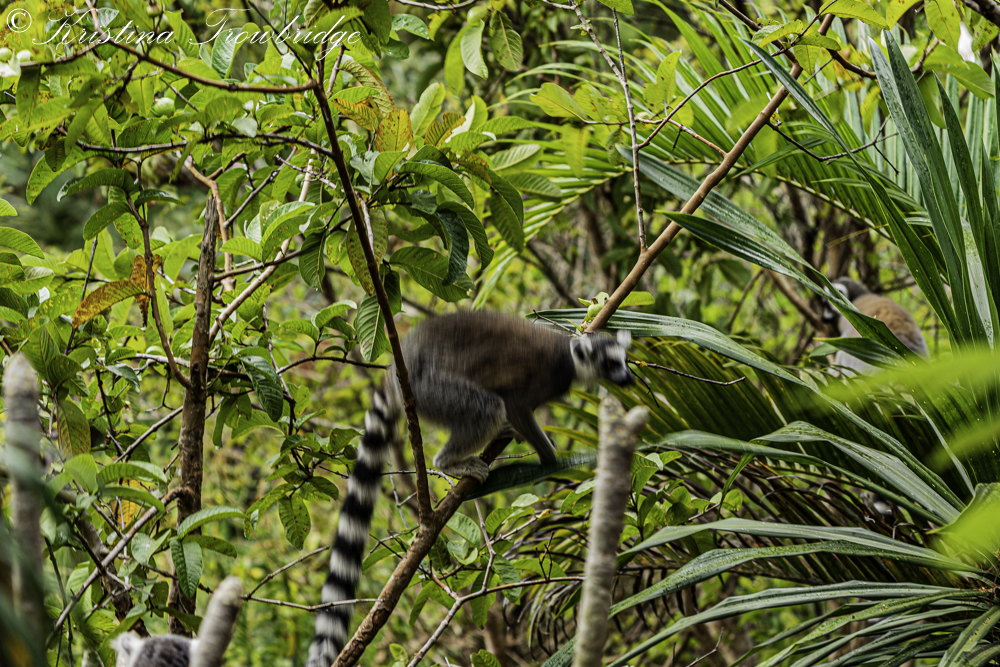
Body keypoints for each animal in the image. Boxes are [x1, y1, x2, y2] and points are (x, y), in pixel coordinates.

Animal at [307, 311, 634, 667]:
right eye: (609, 364)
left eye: (624, 361)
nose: (628, 379)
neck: (571, 360)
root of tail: (400, 367)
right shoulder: (547, 379)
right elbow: (516, 406)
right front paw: (551, 461)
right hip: (432, 389)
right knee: (486, 408)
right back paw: (451, 462)